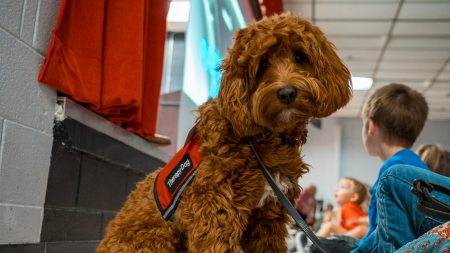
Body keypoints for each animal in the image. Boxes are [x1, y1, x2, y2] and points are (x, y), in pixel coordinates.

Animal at [97, 13, 352, 253]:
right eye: (263, 64)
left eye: (300, 56)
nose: (287, 93)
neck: (260, 141)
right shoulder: (214, 210)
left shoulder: (267, 219)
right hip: (155, 238)